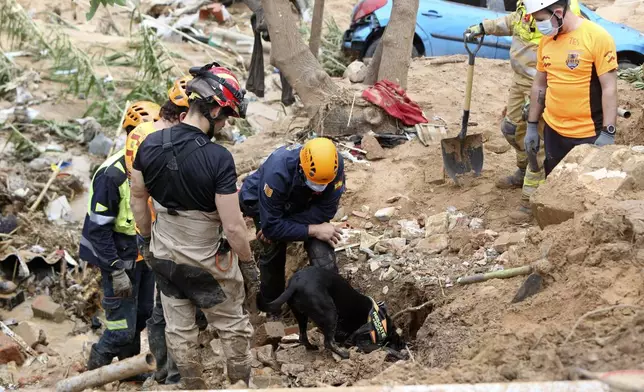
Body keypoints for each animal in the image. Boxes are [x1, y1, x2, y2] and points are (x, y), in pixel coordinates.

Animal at [266, 266, 402, 358]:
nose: (403, 344)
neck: (380, 320)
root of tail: (295, 283)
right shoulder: (363, 342)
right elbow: (383, 348)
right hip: (330, 312)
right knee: (328, 342)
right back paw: (344, 354)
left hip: (301, 315)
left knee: (303, 337)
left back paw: (312, 348)